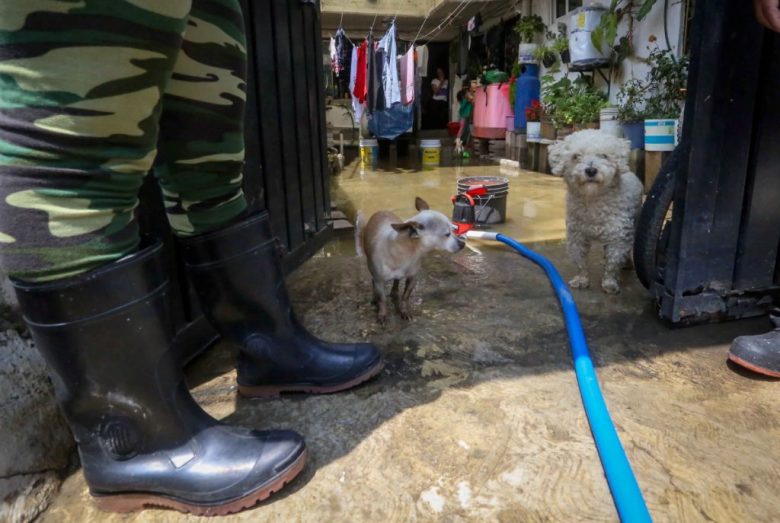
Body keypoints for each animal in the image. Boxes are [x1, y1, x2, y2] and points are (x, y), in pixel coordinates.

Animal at [544, 129, 644, 294]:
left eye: (603, 155)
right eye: (576, 156)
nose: (591, 170)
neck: (593, 200)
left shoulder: (618, 237)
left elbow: (612, 262)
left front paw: (610, 283)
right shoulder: (577, 235)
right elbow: (580, 261)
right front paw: (581, 280)